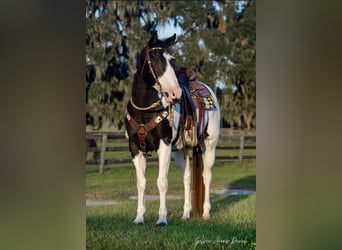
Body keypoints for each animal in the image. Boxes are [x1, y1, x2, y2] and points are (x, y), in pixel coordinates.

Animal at [125, 31, 219, 227]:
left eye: (173, 60)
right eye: (155, 58)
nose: (176, 93)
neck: (145, 110)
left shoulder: (164, 146)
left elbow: (162, 182)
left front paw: (162, 218)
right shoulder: (135, 148)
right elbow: (141, 183)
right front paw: (139, 218)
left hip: (209, 146)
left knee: (206, 176)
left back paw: (206, 213)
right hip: (180, 151)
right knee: (187, 178)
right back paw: (186, 214)